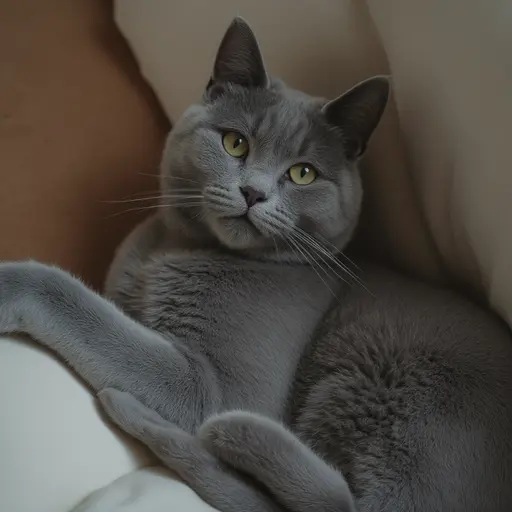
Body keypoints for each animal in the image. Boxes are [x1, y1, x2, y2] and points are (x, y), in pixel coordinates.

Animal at [1, 16, 512, 512]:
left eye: (303, 173)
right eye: (234, 143)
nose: (253, 192)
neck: (178, 248)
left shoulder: (210, 385)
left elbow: (87, 311)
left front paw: (11, 283)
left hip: (396, 384)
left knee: (342, 501)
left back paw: (228, 432)